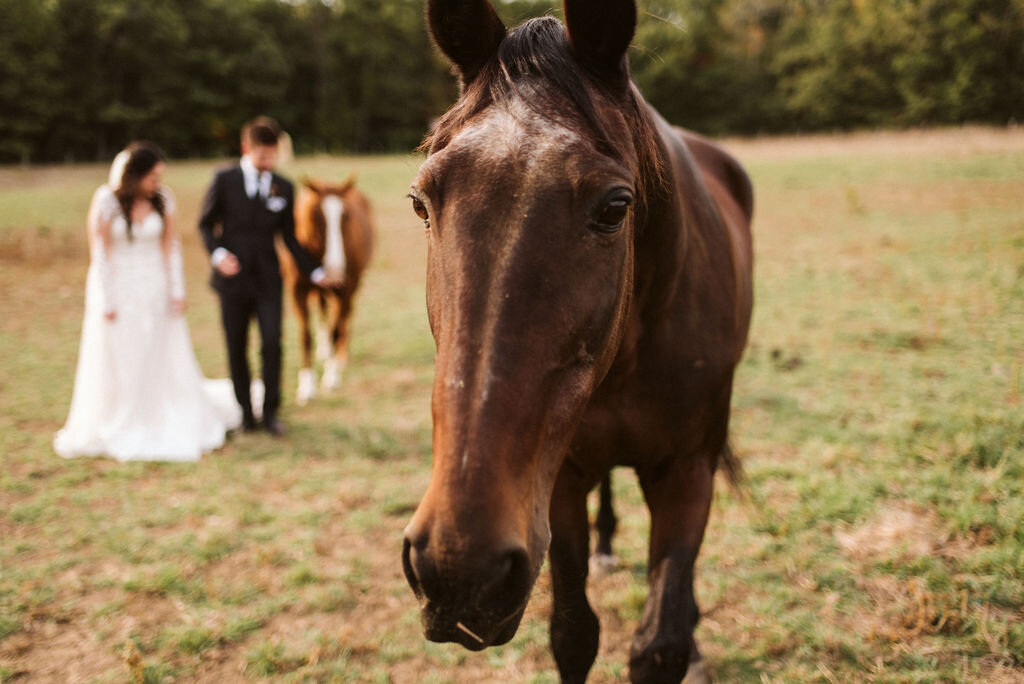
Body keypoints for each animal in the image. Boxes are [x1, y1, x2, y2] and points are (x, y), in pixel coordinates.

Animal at [280, 174, 372, 405]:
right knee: (323, 314)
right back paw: (324, 351)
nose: (335, 269)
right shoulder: (297, 291)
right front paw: (306, 387)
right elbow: (306, 336)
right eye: (316, 216)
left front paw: (331, 377)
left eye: (346, 216)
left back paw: (340, 356)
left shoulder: (345, 289)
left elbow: (335, 331)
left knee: (345, 318)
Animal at [401, 1, 753, 684]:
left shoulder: (687, 474)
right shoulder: (557, 481)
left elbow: (661, 639)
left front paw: (686, 640)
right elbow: (572, 633)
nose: (460, 570)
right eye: (420, 203)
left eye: (616, 208)